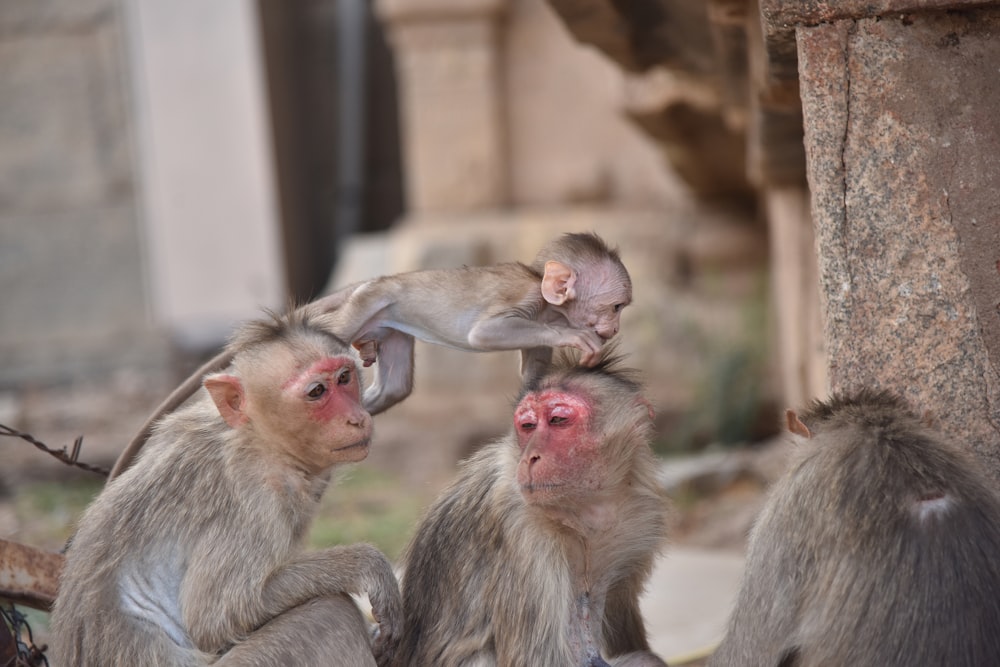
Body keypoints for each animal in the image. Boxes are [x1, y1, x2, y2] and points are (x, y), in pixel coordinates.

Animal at [107, 231, 624, 480]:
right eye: (617, 305)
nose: (615, 325)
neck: (547, 296)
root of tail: (380, 280)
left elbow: (532, 373)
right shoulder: (527, 303)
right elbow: (484, 332)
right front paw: (577, 337)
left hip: (388, 325)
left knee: (396, 387)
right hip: (367, 304)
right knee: (320, 343)